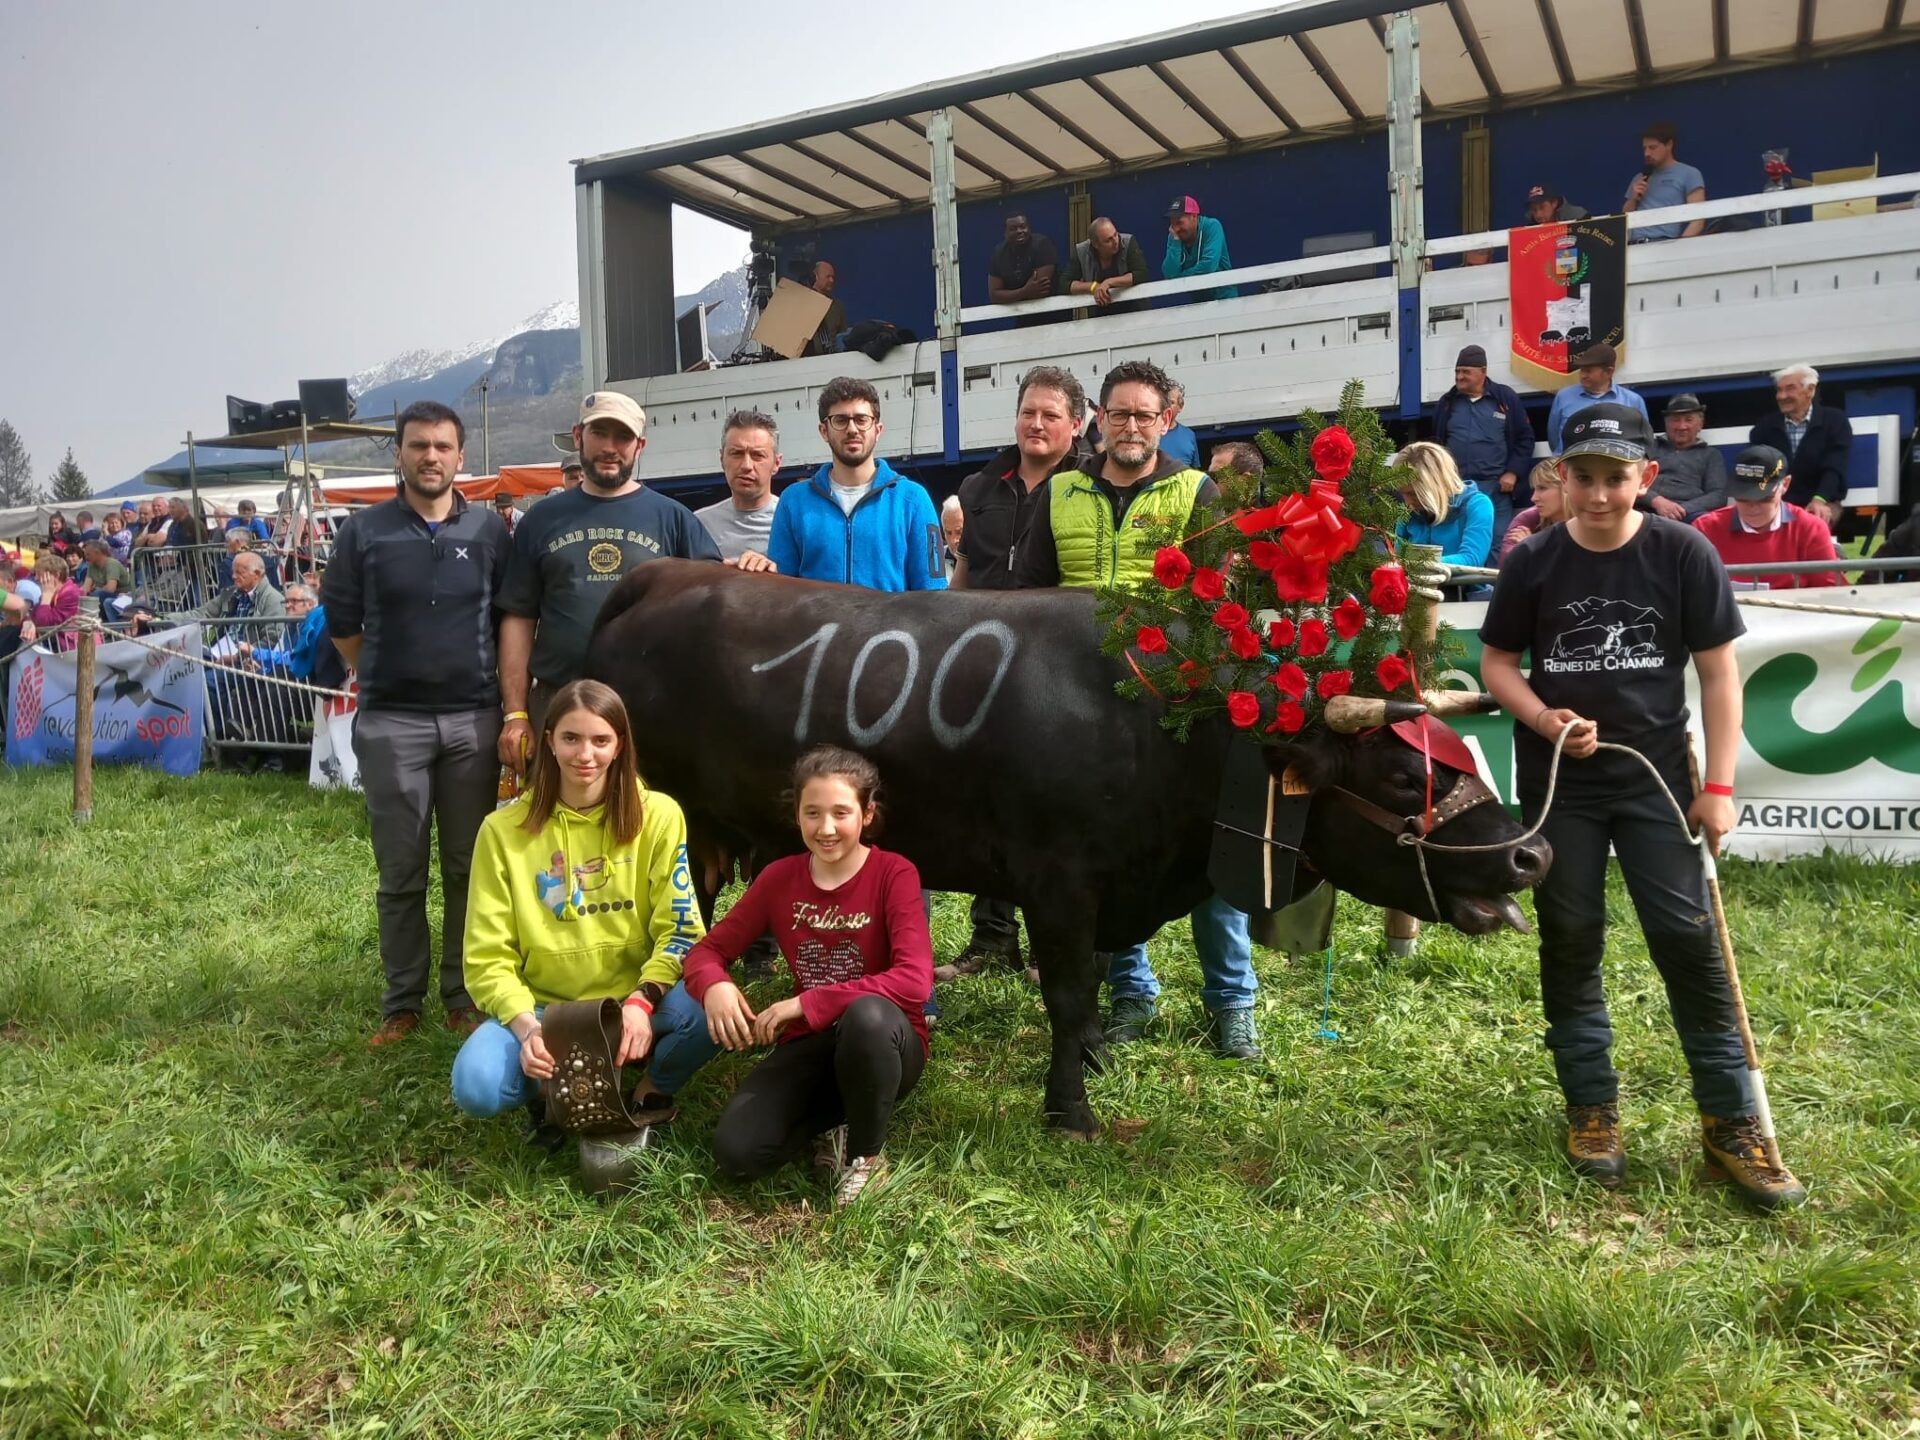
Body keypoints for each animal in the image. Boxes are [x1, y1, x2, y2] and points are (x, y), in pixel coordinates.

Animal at [583, 564, 1543, 1136]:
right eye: (1401, 776)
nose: (1531, 857)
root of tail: (673, 572)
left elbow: (1086, 1000)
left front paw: (1089, 1064)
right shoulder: (1059, 882)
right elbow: (1070, 992)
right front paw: (1070, 1109)